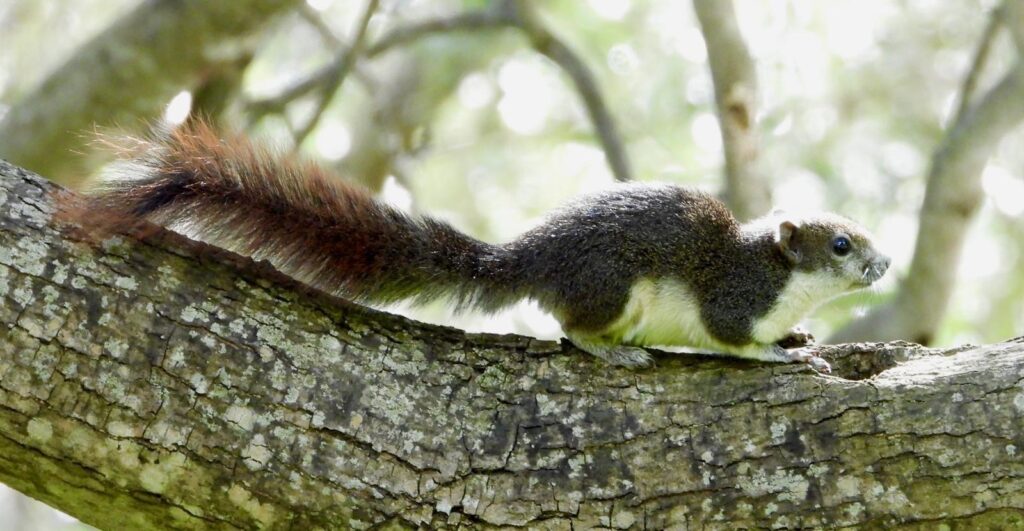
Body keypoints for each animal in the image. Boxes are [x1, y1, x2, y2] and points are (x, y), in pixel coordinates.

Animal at [71, 122, 890, 373]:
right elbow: (732, 335)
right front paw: (781, 354)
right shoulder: (733, 298)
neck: (776, 271)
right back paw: (610, 352)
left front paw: (800, 336)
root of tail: (529, 256)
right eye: (840, 243)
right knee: (570, 326)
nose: (884, 263)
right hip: (611, 287)